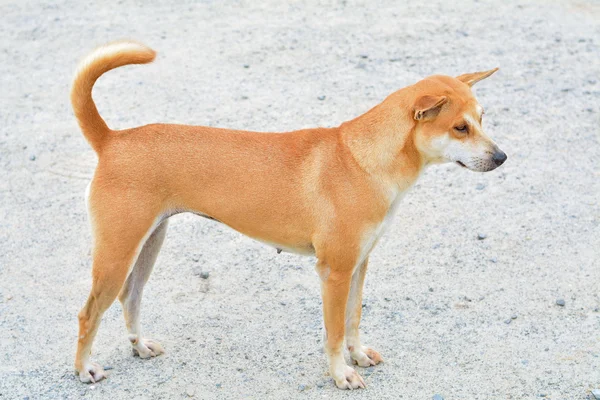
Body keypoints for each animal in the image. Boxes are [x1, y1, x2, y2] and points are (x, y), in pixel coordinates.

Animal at [72, 39, 508, 388]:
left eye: (482, 119)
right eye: (460, 128)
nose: (501, 157)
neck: (362, 159)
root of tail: (112, 139)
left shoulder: (358, 265)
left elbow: (353, 319)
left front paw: (358, 354)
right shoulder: (334, 272)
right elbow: (334, 332)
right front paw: (341, 374)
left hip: (147, 245)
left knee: (130, 298)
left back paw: (140, 346)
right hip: (116, 255)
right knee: (88, 314)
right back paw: (84, 369)